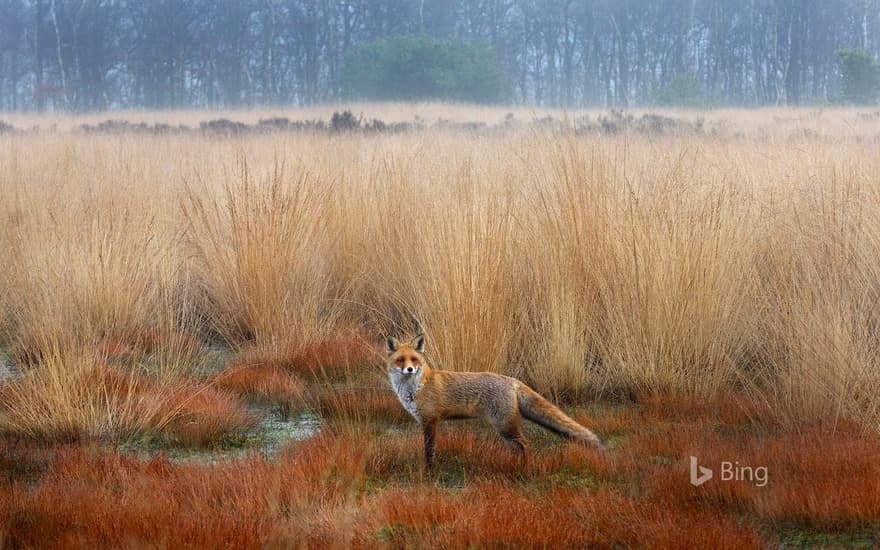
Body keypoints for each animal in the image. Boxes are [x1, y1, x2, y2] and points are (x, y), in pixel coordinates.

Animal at [384, 334, 604, 468]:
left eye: (414, 360)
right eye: (400, 360)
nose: (409, 369)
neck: (415, 388)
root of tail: (512, 380)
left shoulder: (430, 421)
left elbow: (429, 451)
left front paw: (429, 471)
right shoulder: (427, 421)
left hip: (504, 426)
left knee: (525, 443)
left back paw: (527, 468)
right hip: (504, 429)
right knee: (517, 447)